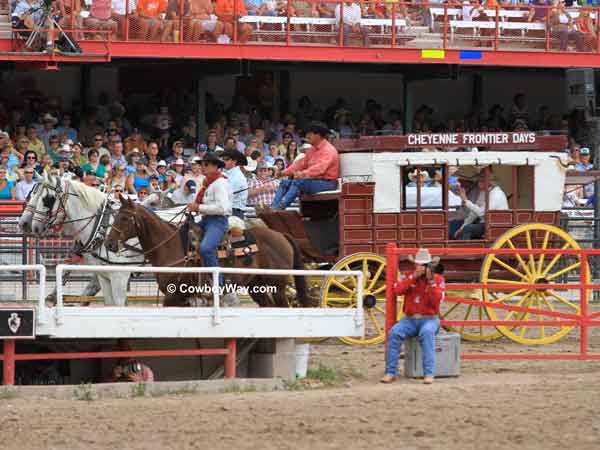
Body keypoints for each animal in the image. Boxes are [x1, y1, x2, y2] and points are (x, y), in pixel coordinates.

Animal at [20, 174, 148, 308]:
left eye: (48, 199)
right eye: (31, 195)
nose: (28, 225)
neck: (102, 226)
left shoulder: (119, 276)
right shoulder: (103, 274)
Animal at [104, 198, 310, 310]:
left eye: (124, 218)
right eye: (115, 216)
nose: (109, 243)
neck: (170, 246)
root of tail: (281, 235)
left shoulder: (174, 295)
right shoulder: (183, 298)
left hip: (278, 286)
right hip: (255, 286)